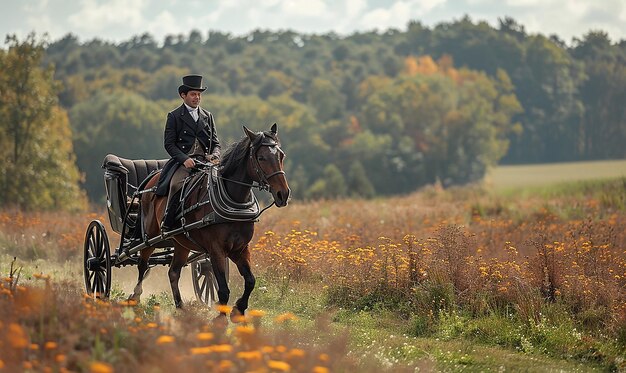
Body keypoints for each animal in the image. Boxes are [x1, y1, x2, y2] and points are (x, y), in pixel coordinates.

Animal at [133, 123, 288, 320]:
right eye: (261, 157)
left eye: (281, 155)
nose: (283, 194)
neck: (235, 203)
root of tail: (149, 182)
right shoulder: (216, 250)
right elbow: (223, 289)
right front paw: (221, 318)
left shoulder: (240, 248)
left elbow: (250, 281)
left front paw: (238, 309)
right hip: (150, 236)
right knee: (142, 264)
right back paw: (135, 298)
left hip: (181, 243)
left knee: (173, 272)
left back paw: (181, 309)